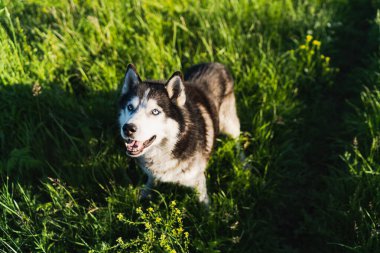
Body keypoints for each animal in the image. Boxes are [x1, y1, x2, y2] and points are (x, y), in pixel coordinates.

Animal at [119, 62, 239, 204]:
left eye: (155, 111)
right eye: (130, 107)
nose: (128, 128)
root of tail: (216, 64)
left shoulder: (198, 180)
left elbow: (203, 201)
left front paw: (207, 210)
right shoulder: (152, 174)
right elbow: (150, 182)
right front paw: (143, 195)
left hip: (230, 125)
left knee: (238, 140)